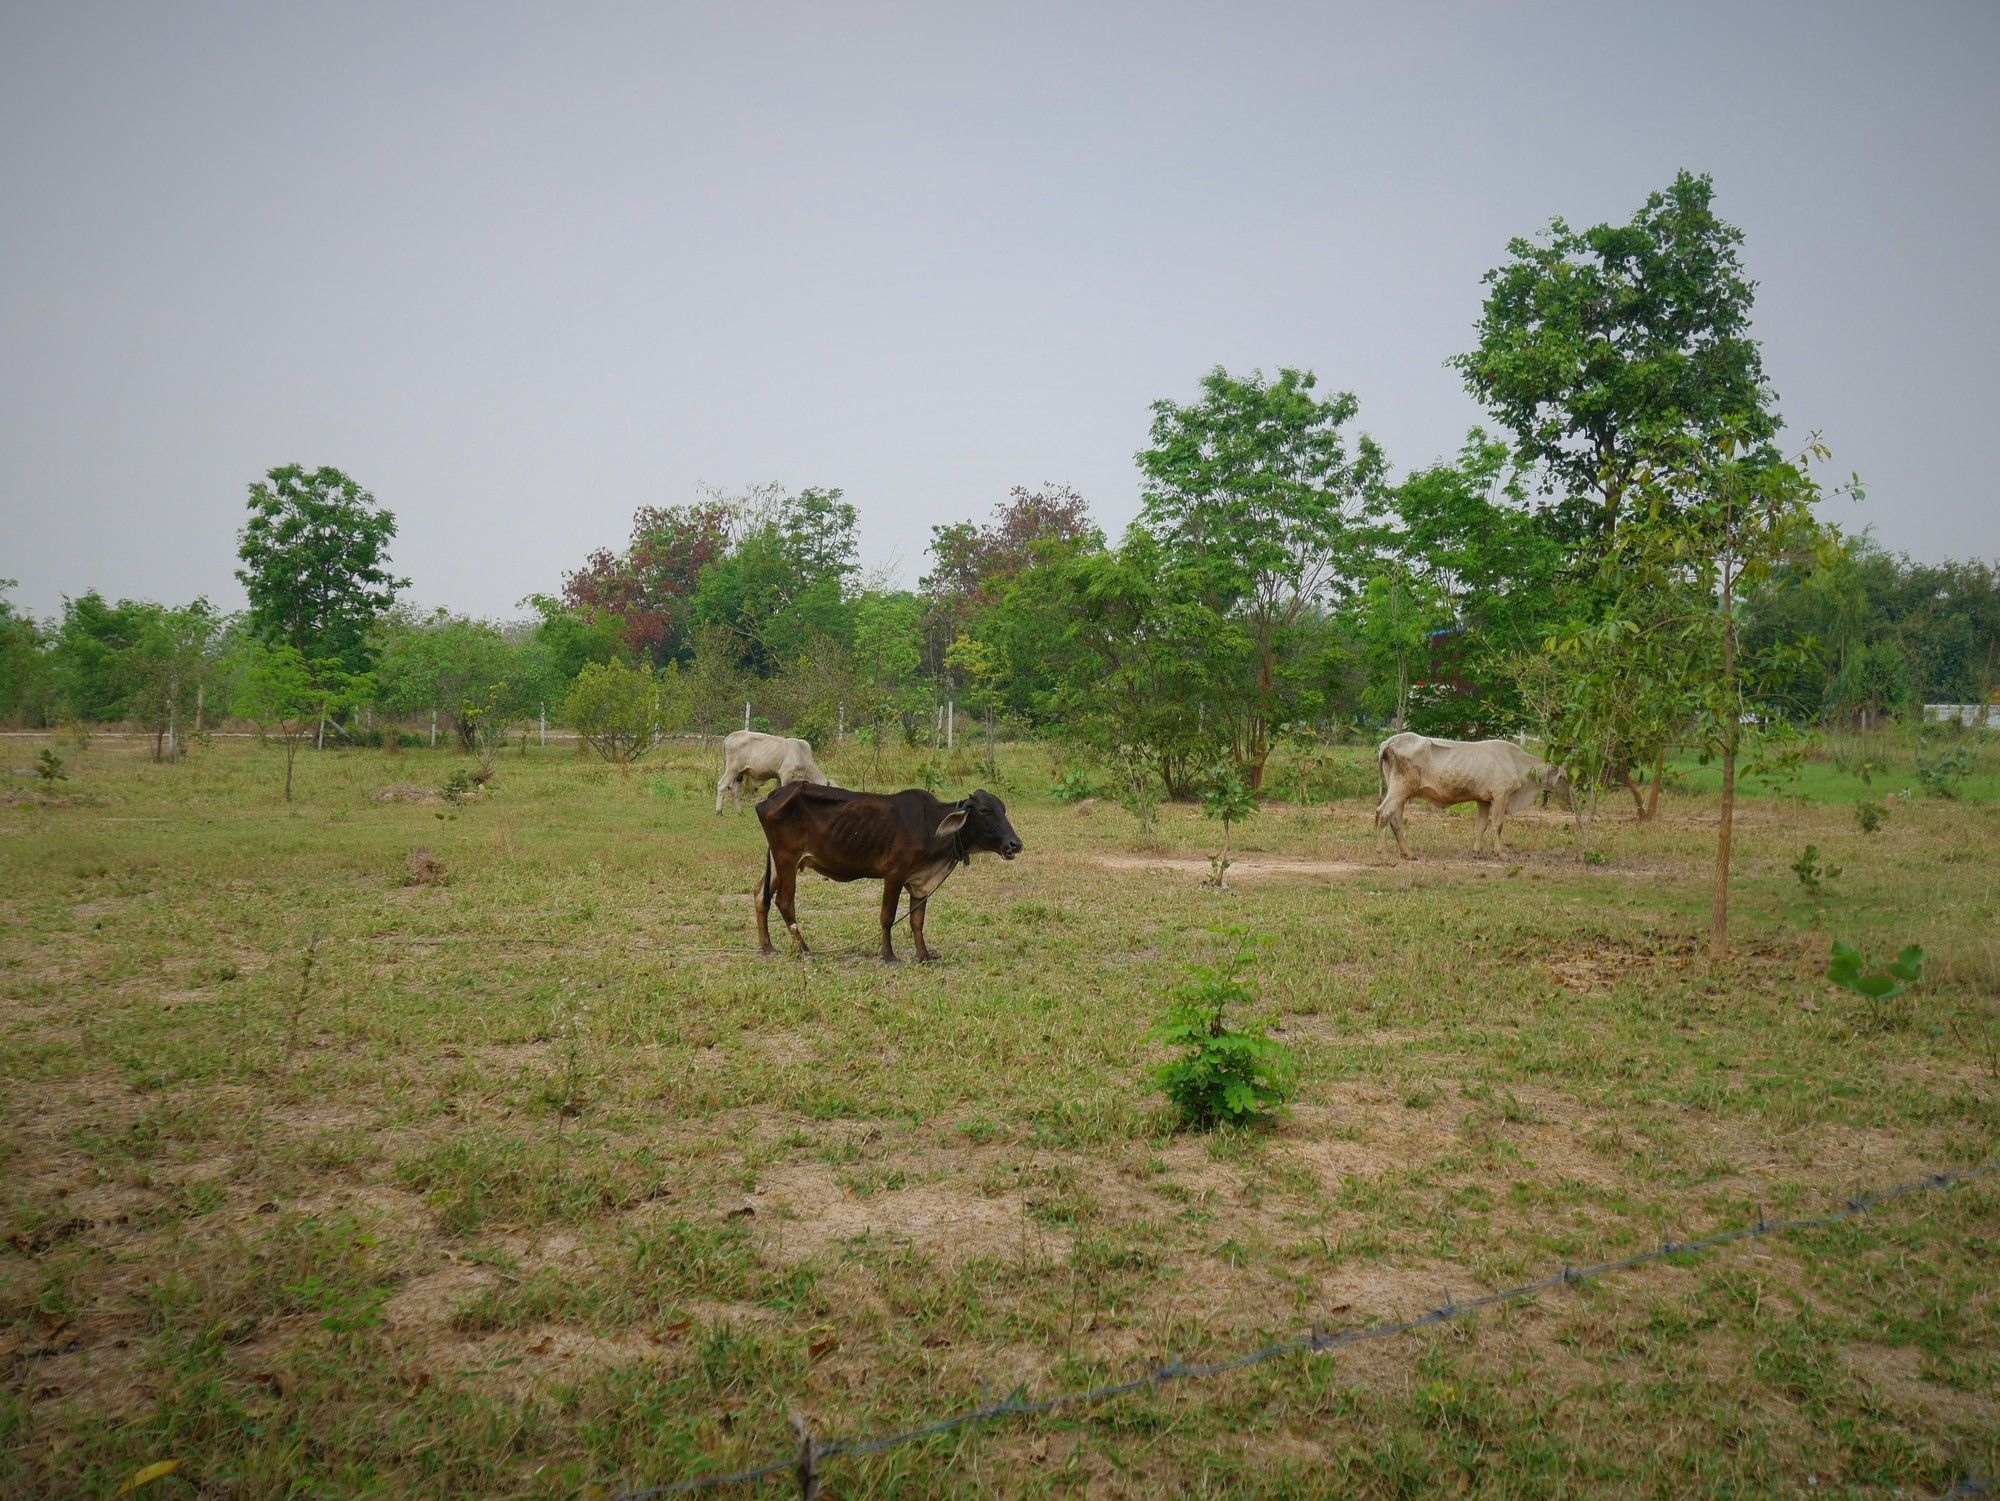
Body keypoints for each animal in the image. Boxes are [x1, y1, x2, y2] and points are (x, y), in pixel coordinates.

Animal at [756, 780, 1024, 968]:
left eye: (1003, 809)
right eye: (984, 810)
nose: (1014, 844)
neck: (931, 825)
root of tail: (772, 796)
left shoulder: (920, 882)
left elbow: (917, 921)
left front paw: (924, 956)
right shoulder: (893, 875)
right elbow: (887, 917)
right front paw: (889, 956)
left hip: (778, 863)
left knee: (761, 897)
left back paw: (768, 947)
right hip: (787, 860)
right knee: (784, 903)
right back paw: (805, 951)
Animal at [1376, 736, 1576, 864]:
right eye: (1565, 778)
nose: (1572, 797)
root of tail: (1390, 742)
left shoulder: (1484, 800)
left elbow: (1481, 826)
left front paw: (1477, 852)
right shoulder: (1500, 795)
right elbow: (1498, 825)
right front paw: (1500, 853)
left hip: (1399, 792)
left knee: (1395, 819)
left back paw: (1407, 853)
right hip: (1401, 788)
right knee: (1383, 813)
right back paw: (1383, 854)